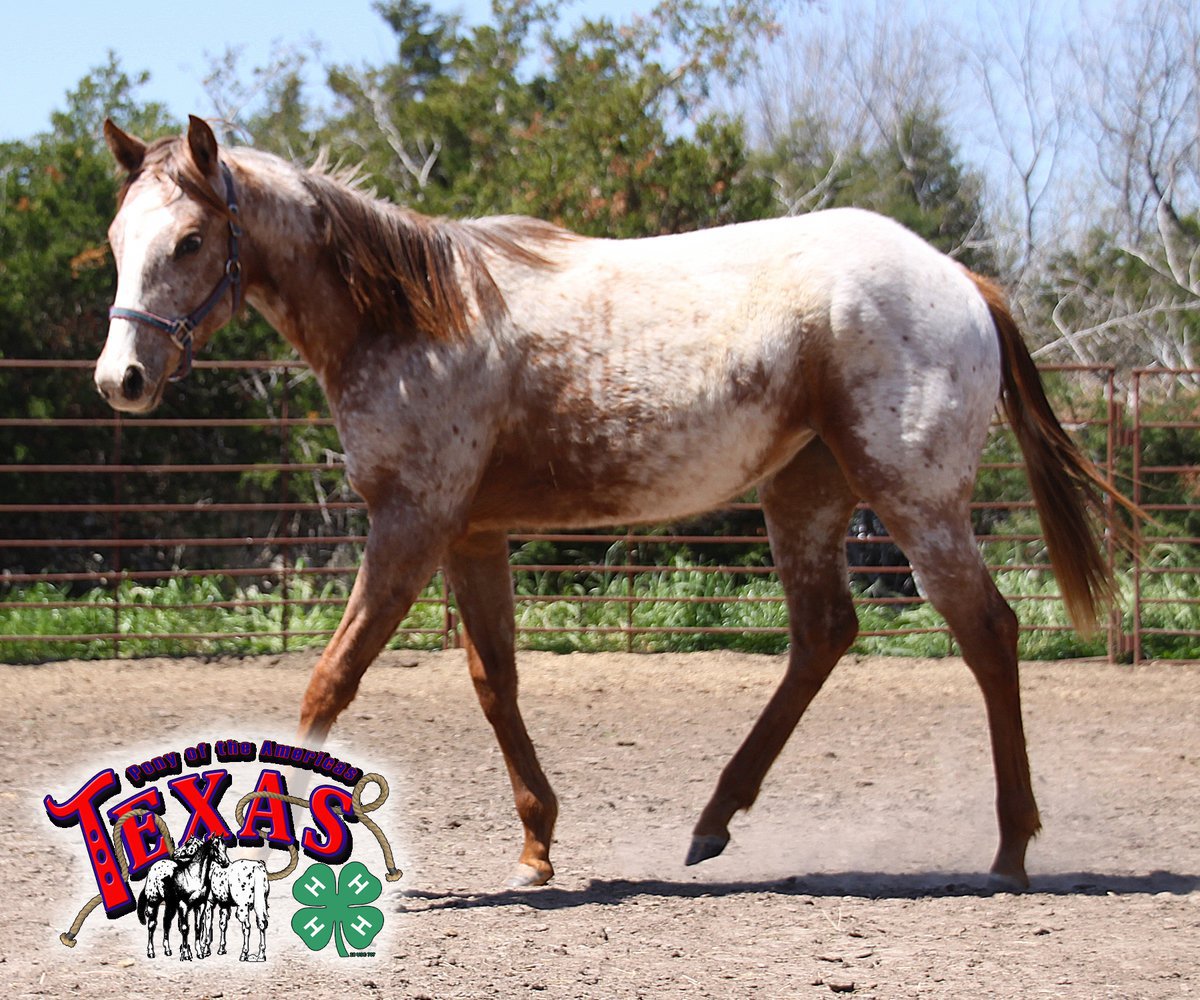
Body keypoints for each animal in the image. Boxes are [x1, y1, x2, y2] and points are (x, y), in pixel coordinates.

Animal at [98, 117, 1118, 888]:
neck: (410, 319)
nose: (122, 379)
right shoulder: (471, 536)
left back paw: (1010, 851)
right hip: (806, 494)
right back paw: (713, 821)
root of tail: (961, 280)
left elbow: (330, 680)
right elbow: (495, 683)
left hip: (916, 500)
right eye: (117, 242)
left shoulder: (411, 524)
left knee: (987, 630)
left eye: (190, 241)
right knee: (824, 634)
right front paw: (536, 846)